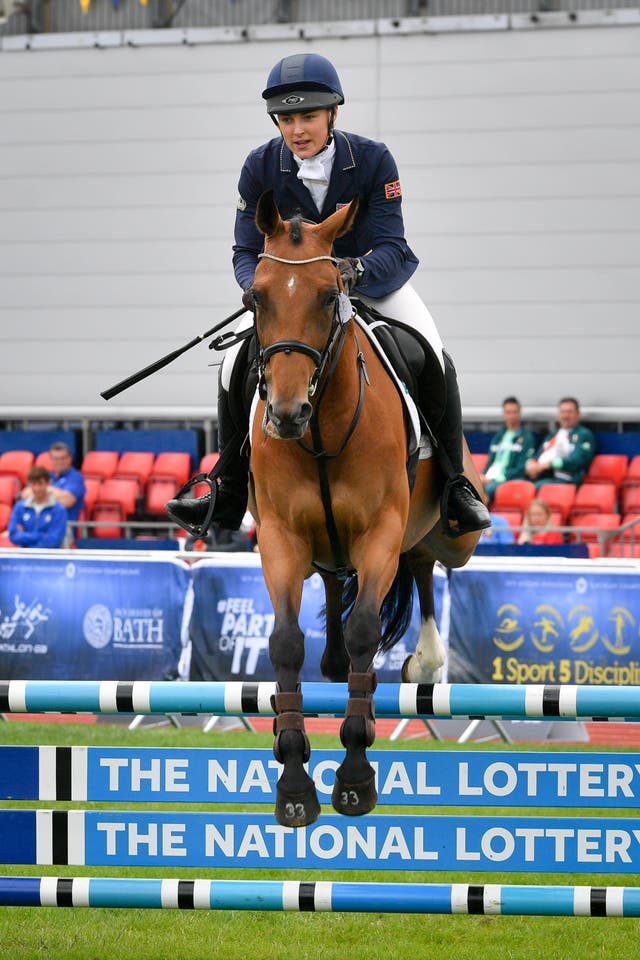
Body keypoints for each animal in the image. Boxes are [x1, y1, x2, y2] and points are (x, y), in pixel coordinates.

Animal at [245, 191, 484, 828]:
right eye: (256, 296)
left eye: (330, 296)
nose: (285, 415)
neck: (322, 429)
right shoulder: (280, 538)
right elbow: (285, 643)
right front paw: (294, 781)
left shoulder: (380, 533)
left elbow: (363, 631)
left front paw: (354, 776)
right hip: (324, 547)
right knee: (336, 581)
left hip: (451, 536)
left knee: (424, 558)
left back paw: (424, 660)